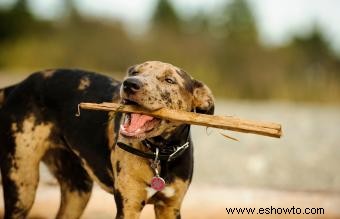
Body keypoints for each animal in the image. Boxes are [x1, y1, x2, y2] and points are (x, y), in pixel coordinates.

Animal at [0, 60, 214, 219]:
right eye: (135, 71)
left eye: (170, 80)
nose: (130, 83)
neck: (159, 153)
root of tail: (18, 86)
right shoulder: (129, 205)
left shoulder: (170, 207)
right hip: (21, 186)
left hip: (77, 191)